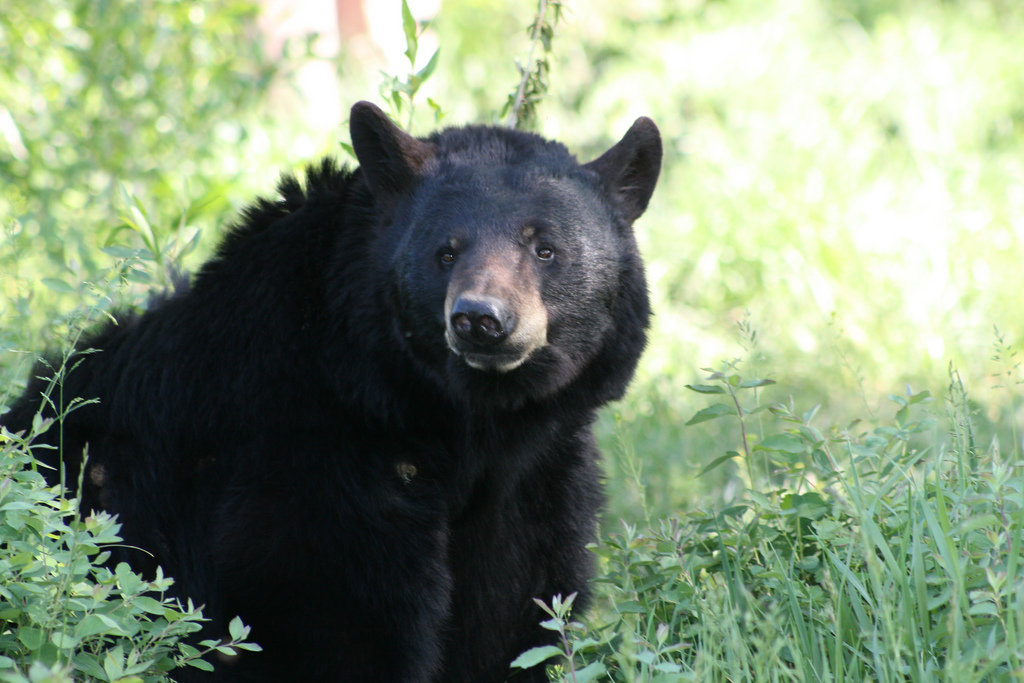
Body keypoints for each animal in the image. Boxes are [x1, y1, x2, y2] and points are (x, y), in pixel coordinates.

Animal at [4, 98, 659, 679]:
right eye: (445, 252)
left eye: (545, 248)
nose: (481, 319)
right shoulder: (312, 456)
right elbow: (327, 615)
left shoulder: (531, 485)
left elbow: (513, 617)